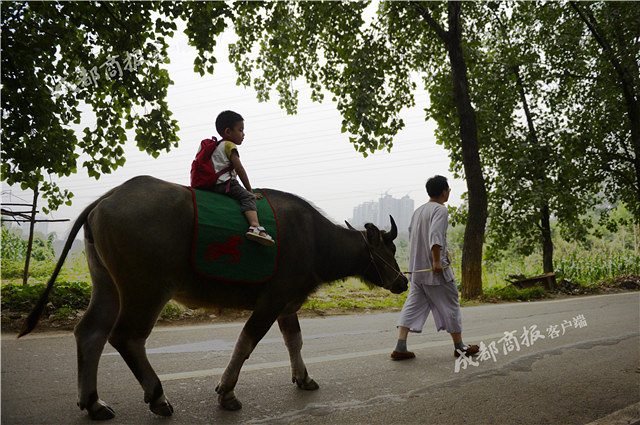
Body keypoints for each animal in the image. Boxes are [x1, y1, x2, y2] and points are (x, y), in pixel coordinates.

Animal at [21, 175, 410, 418]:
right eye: (388, 251)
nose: (403, 283)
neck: (315, 241)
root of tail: (109, 196)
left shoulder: (287, 305)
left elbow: (294, 341)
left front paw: (303, 378)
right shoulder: (271, 302)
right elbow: (246, 342)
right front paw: (227, 392)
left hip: (107, 285)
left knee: (90, 333)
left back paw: (93, 403)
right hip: (145, 289)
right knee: (126, 336)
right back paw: (157, 397)